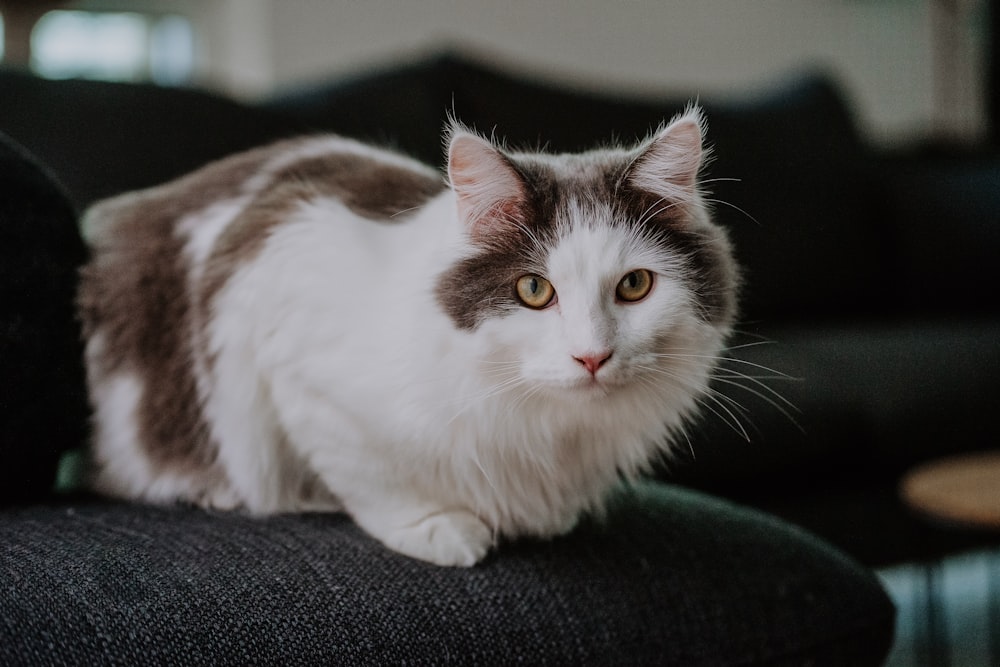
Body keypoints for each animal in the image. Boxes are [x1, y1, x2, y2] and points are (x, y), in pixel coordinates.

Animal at [76, 109, 736, 568]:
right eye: (533, 290)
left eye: (634, 285)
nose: (592, 356)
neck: (546, 427)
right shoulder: (287, 324)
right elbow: (375, 478)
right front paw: (439, 527)